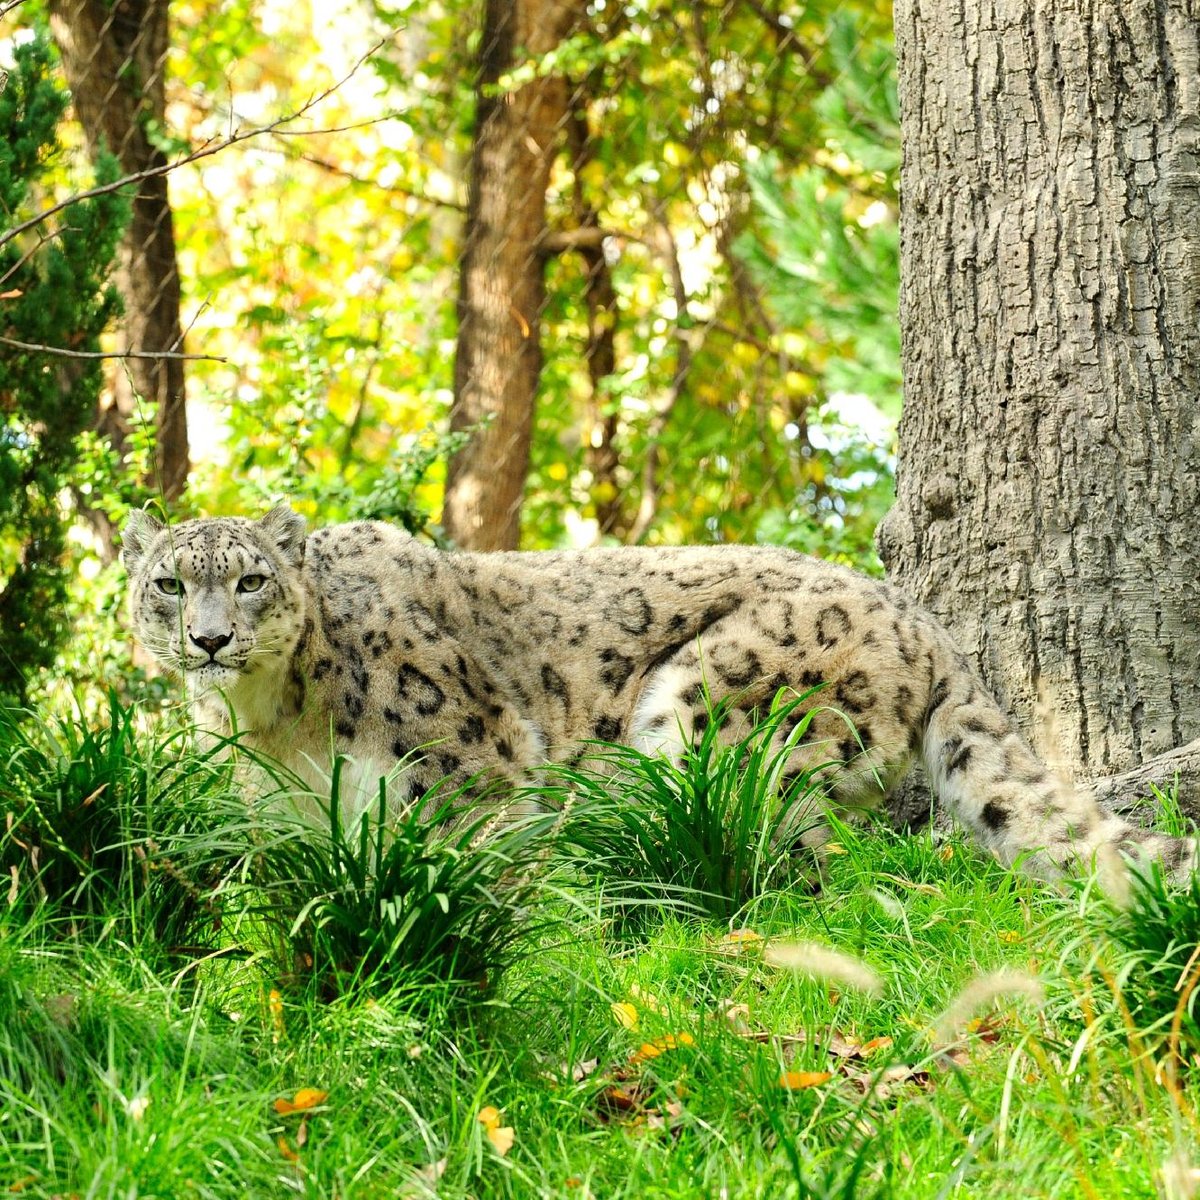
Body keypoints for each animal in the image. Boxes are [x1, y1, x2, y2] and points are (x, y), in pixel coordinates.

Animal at [124, 501, 1200, 878]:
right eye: (170, 582)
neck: (274, 726)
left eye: (251, 578)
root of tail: (923, 622)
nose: (210, 638)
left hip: (716, 708)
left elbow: (478, 854)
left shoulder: (472, 758)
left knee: (799, 855)